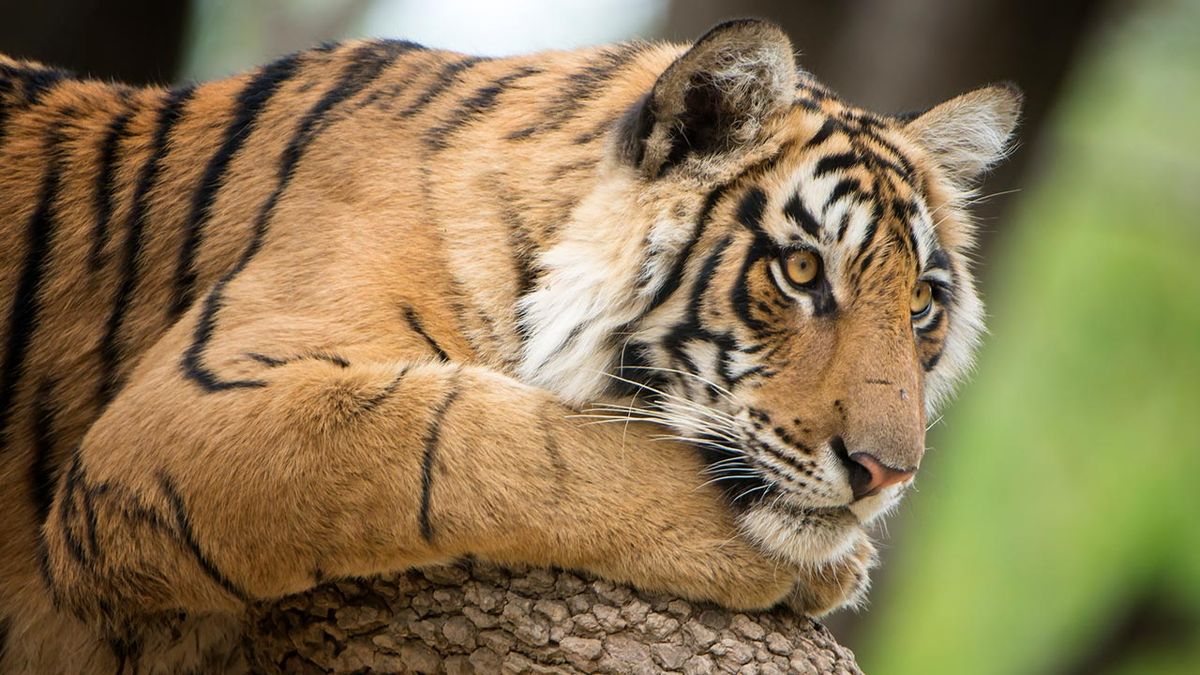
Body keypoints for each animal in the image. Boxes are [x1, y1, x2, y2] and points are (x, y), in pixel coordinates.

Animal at [0, 19, 1020, 673]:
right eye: (803, 271)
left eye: (921, 303)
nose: (887, 473)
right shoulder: (182, 418)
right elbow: (473, 439)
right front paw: (818, 563)